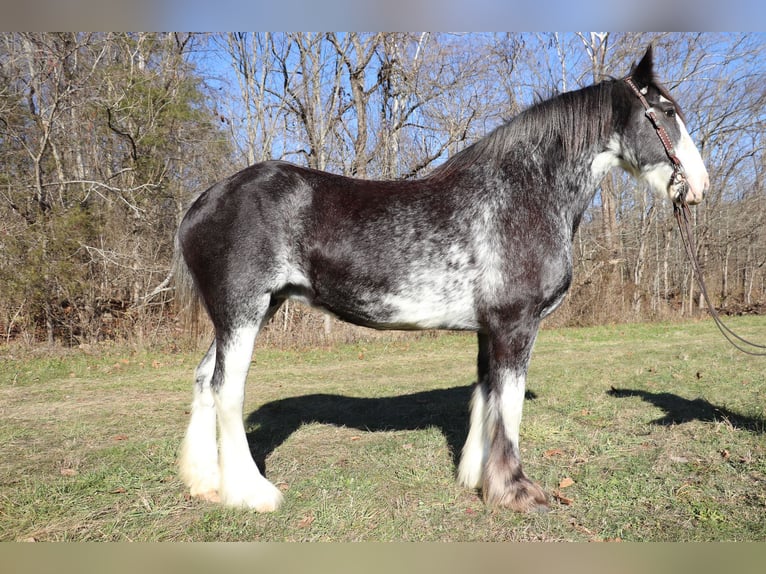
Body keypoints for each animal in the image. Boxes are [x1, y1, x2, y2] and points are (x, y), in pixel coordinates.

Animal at [177, 45, 712, 512]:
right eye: (666, 112)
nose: (700, 187)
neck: (525, 194)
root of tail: (201, 204)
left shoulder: (489, 329)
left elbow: (485, 397)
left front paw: (477, 477)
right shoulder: (516, 326)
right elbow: (510, 406)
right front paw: (515, 491)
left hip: (247, 313)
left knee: (204, 379)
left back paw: (205, 484)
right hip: (243, 311)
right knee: (227, 389)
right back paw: (252, 494)